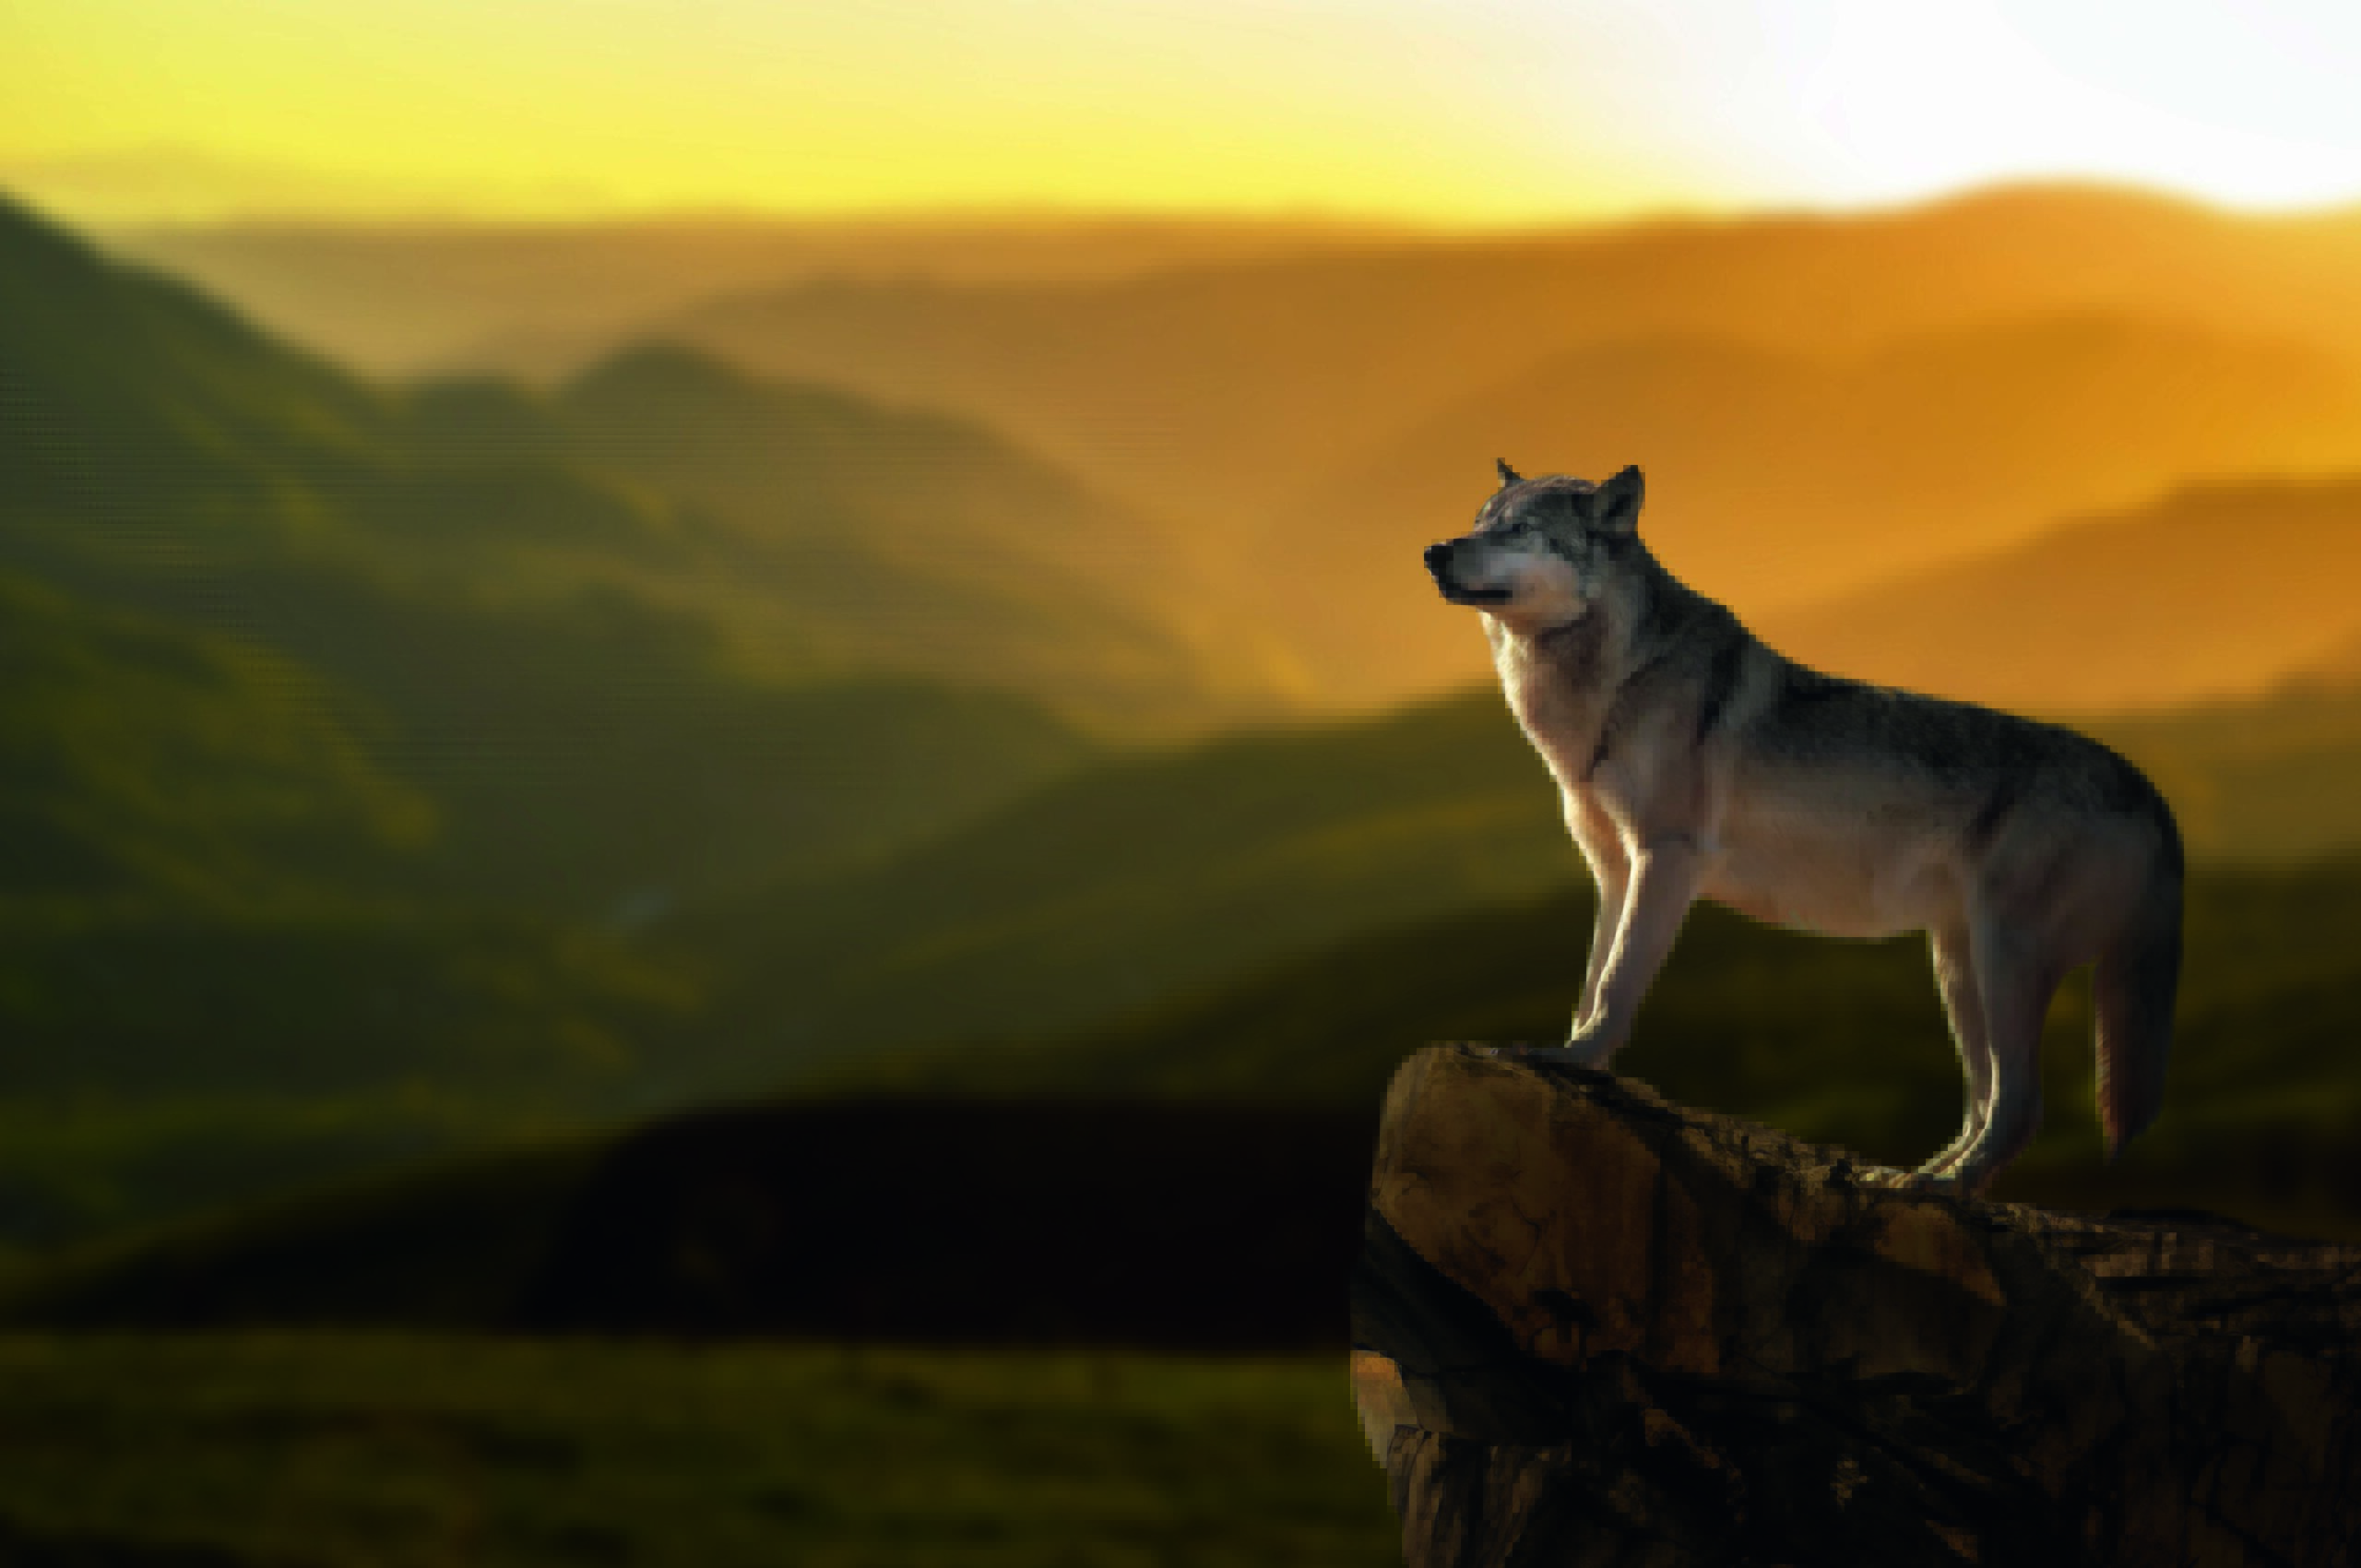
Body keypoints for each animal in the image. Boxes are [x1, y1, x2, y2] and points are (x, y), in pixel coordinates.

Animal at [1425, 460, 2183, 1195]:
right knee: (1983, 1099)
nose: (1433, 552)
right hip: (1957, 965)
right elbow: (1591, 982)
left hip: (2005, 958)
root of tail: (2148, 788)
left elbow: (1615, 985)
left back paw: (1938, 1189)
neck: (1614, 681)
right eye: (1478, 522)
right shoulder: (1615, 872)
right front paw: (1571, 1058)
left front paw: (1576, 1060)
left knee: (2020, 1104)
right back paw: (1913, 1176)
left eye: (1518, 529)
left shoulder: (1666, 858)